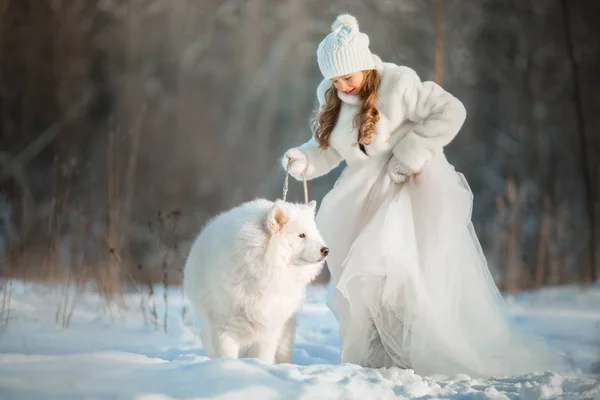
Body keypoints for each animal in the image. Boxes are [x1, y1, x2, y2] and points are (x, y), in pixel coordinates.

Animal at [183, 198, 328, 364]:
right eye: (302, 235)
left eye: (314, 233)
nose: (326, 250)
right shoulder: (223, 326)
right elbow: (226, 353)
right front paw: (226, 366)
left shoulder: (268, 326)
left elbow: (262, 355)